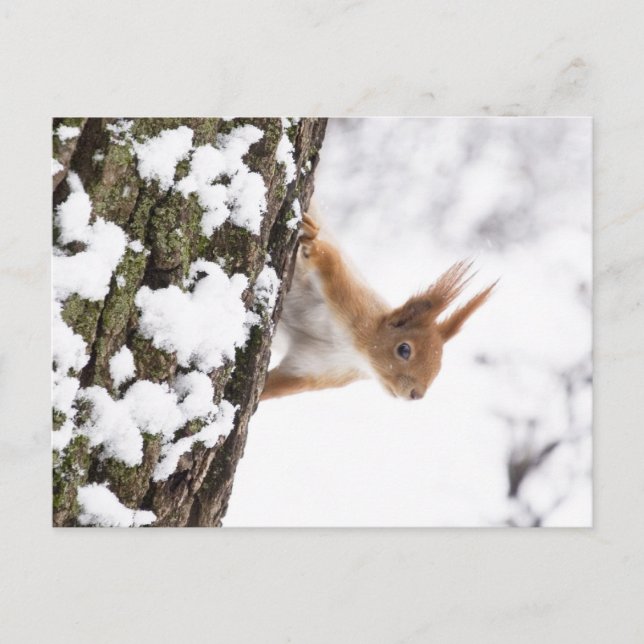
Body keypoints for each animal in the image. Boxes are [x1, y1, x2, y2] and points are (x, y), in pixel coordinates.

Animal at [261, 208, 496, 401]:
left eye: (439, 366)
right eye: (404, 349)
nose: (416, 395)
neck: (353, 351)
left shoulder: (314, 370)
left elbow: (276, 387)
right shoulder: (350, 297)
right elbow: (330, 260)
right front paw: (311, 237)